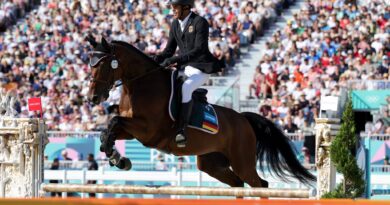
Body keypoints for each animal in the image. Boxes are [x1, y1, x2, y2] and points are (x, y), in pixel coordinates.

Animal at [86, 35, 316, 191]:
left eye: (104, 65)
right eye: (90, 65)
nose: (92, 98)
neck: (140, 85)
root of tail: (244, 119)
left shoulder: (147, 130)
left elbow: (114, 121)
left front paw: (116, 157)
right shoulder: (132, 129)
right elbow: (110, 129)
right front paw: (116, 156)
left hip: (242, 161)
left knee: (259, 184)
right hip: (211, 163)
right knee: (238, 183)